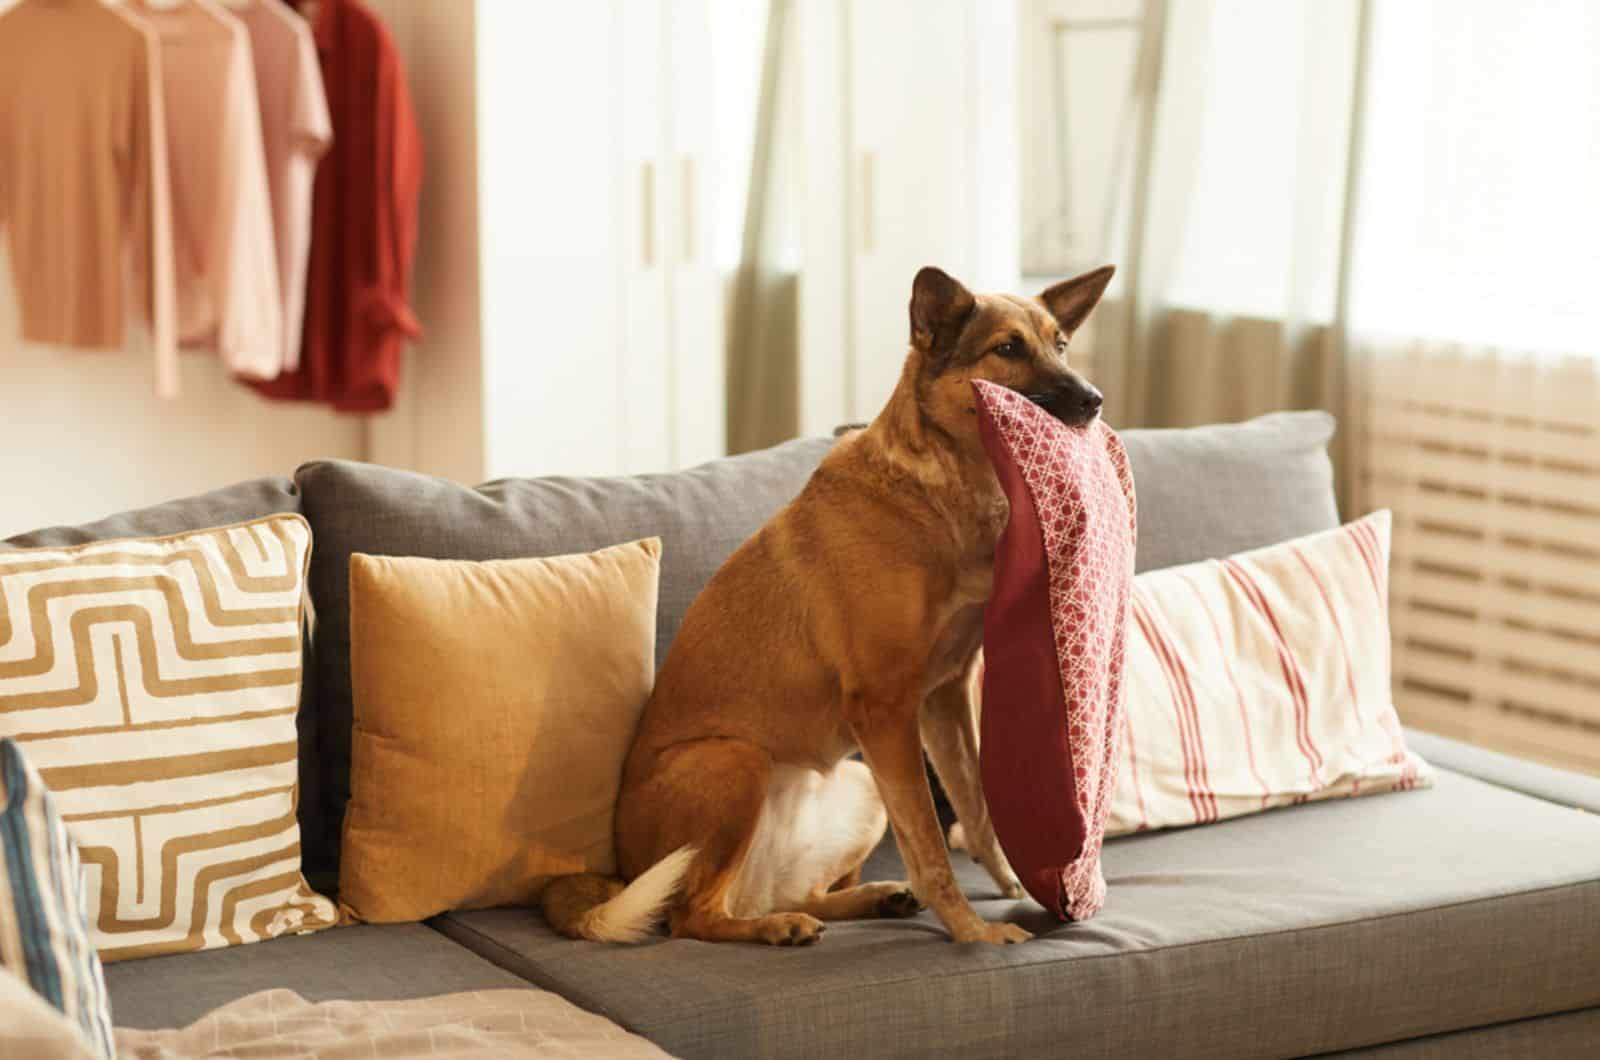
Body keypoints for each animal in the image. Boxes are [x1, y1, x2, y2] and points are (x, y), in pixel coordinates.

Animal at [544, 264, 1120, 947]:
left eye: (1061, 345)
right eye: (1008, 348)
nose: (1094, 400)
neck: (942, 491)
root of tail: (624, 871)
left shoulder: (944, 696)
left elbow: (975, 806)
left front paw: (1009, 886)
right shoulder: (886, 709)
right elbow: (928, 842)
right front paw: (973, 931)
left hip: (859, 783)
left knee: (800, 893)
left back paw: (866, 900)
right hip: (734, 761)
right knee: (693, 915)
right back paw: (778, 926)